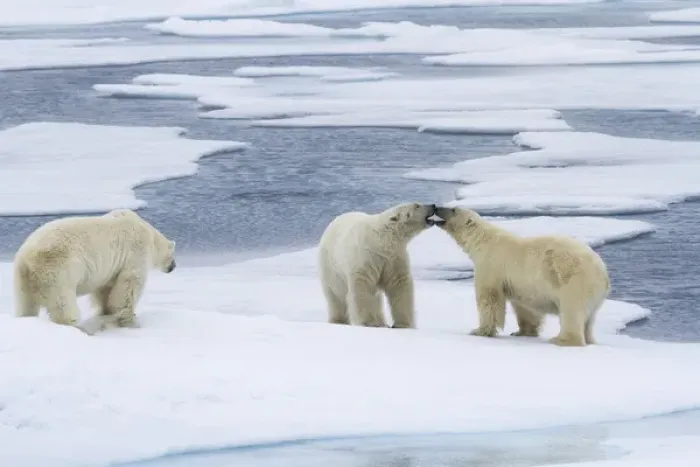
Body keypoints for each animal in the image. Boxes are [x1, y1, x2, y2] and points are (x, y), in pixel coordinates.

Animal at [13, 208, 176, 334]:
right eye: (173, 255)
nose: (174, 266)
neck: (150, 235)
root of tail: (28, 258)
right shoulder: (136, 253)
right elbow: (129, 285)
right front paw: (130, 322)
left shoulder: (110, 269)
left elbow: (105, 289)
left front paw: (107, 312)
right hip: (56, 272)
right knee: (63, 304)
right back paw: (77, 327)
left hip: (23, 280)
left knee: (26, 305)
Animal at [433, 206, 610, 346]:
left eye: (454, 209)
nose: (436, 207)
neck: (483, 240)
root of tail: (603, 272)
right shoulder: (519, 283)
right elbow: (524, 306)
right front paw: (523, 332)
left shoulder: (491, 264)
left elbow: (489, 297)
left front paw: (479, 330)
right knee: (589, 319)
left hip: (573, 279)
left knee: (571, 310)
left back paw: (562, 339)